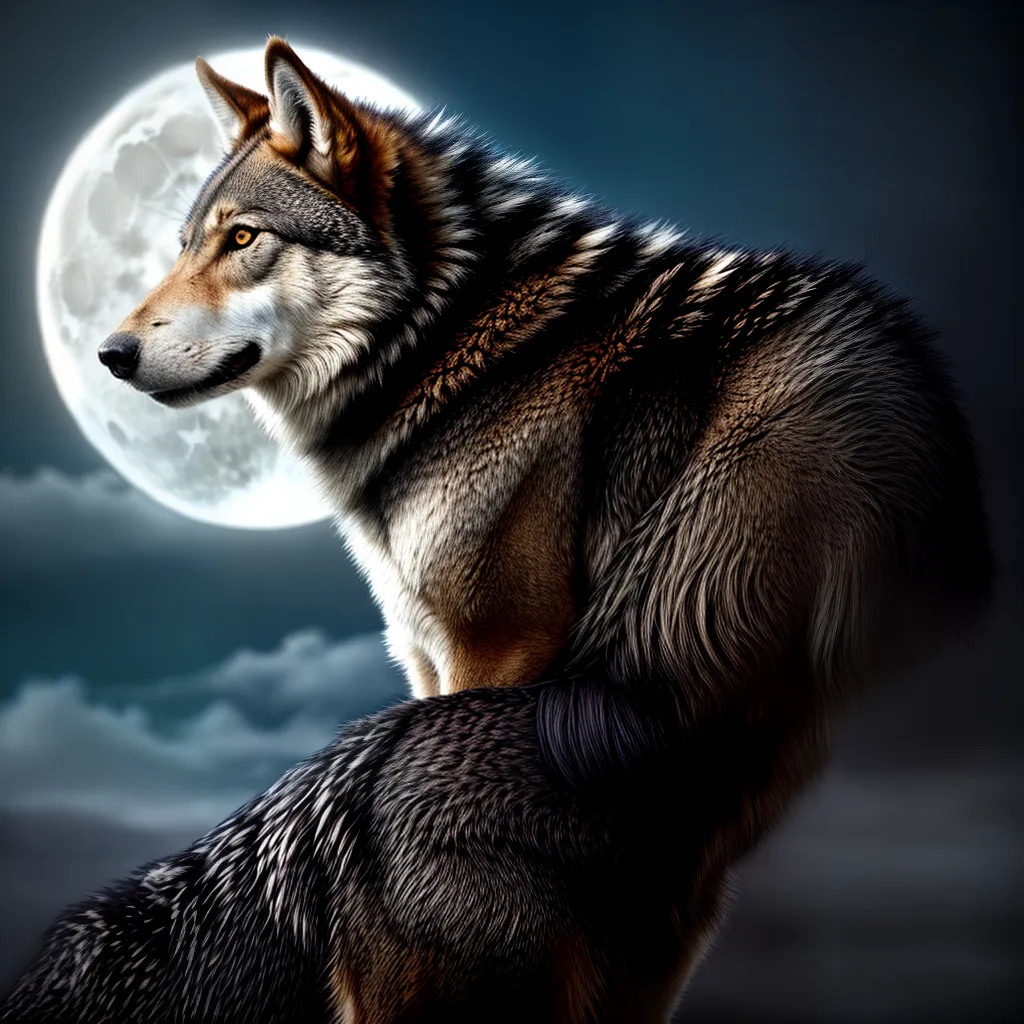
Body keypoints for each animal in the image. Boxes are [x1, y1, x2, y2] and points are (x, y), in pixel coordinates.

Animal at [2, 36, 993, 1023]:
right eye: (180, 246)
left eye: (243, 239)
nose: (109, 356)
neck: (455, 351)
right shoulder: (429, 660)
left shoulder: (500, 645)